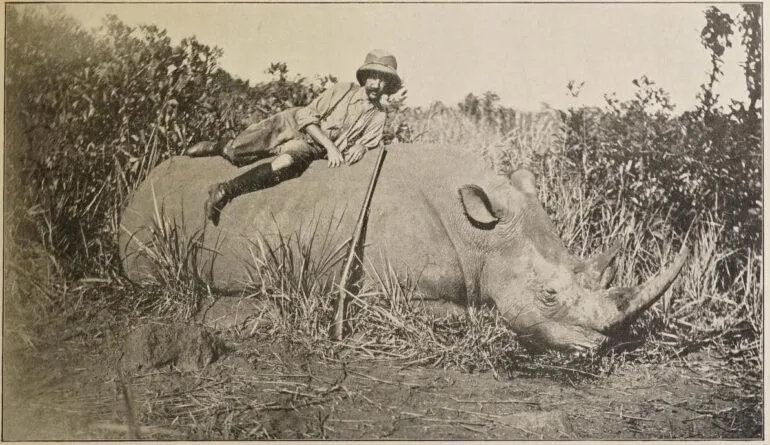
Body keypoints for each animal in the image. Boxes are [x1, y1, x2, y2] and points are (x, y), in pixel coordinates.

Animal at [120, 143, 688, 351]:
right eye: (548, 295)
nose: (603, 347)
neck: (482, 235)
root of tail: (139, 184)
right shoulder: (389, 294)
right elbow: (468, 314)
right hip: (146, 216)